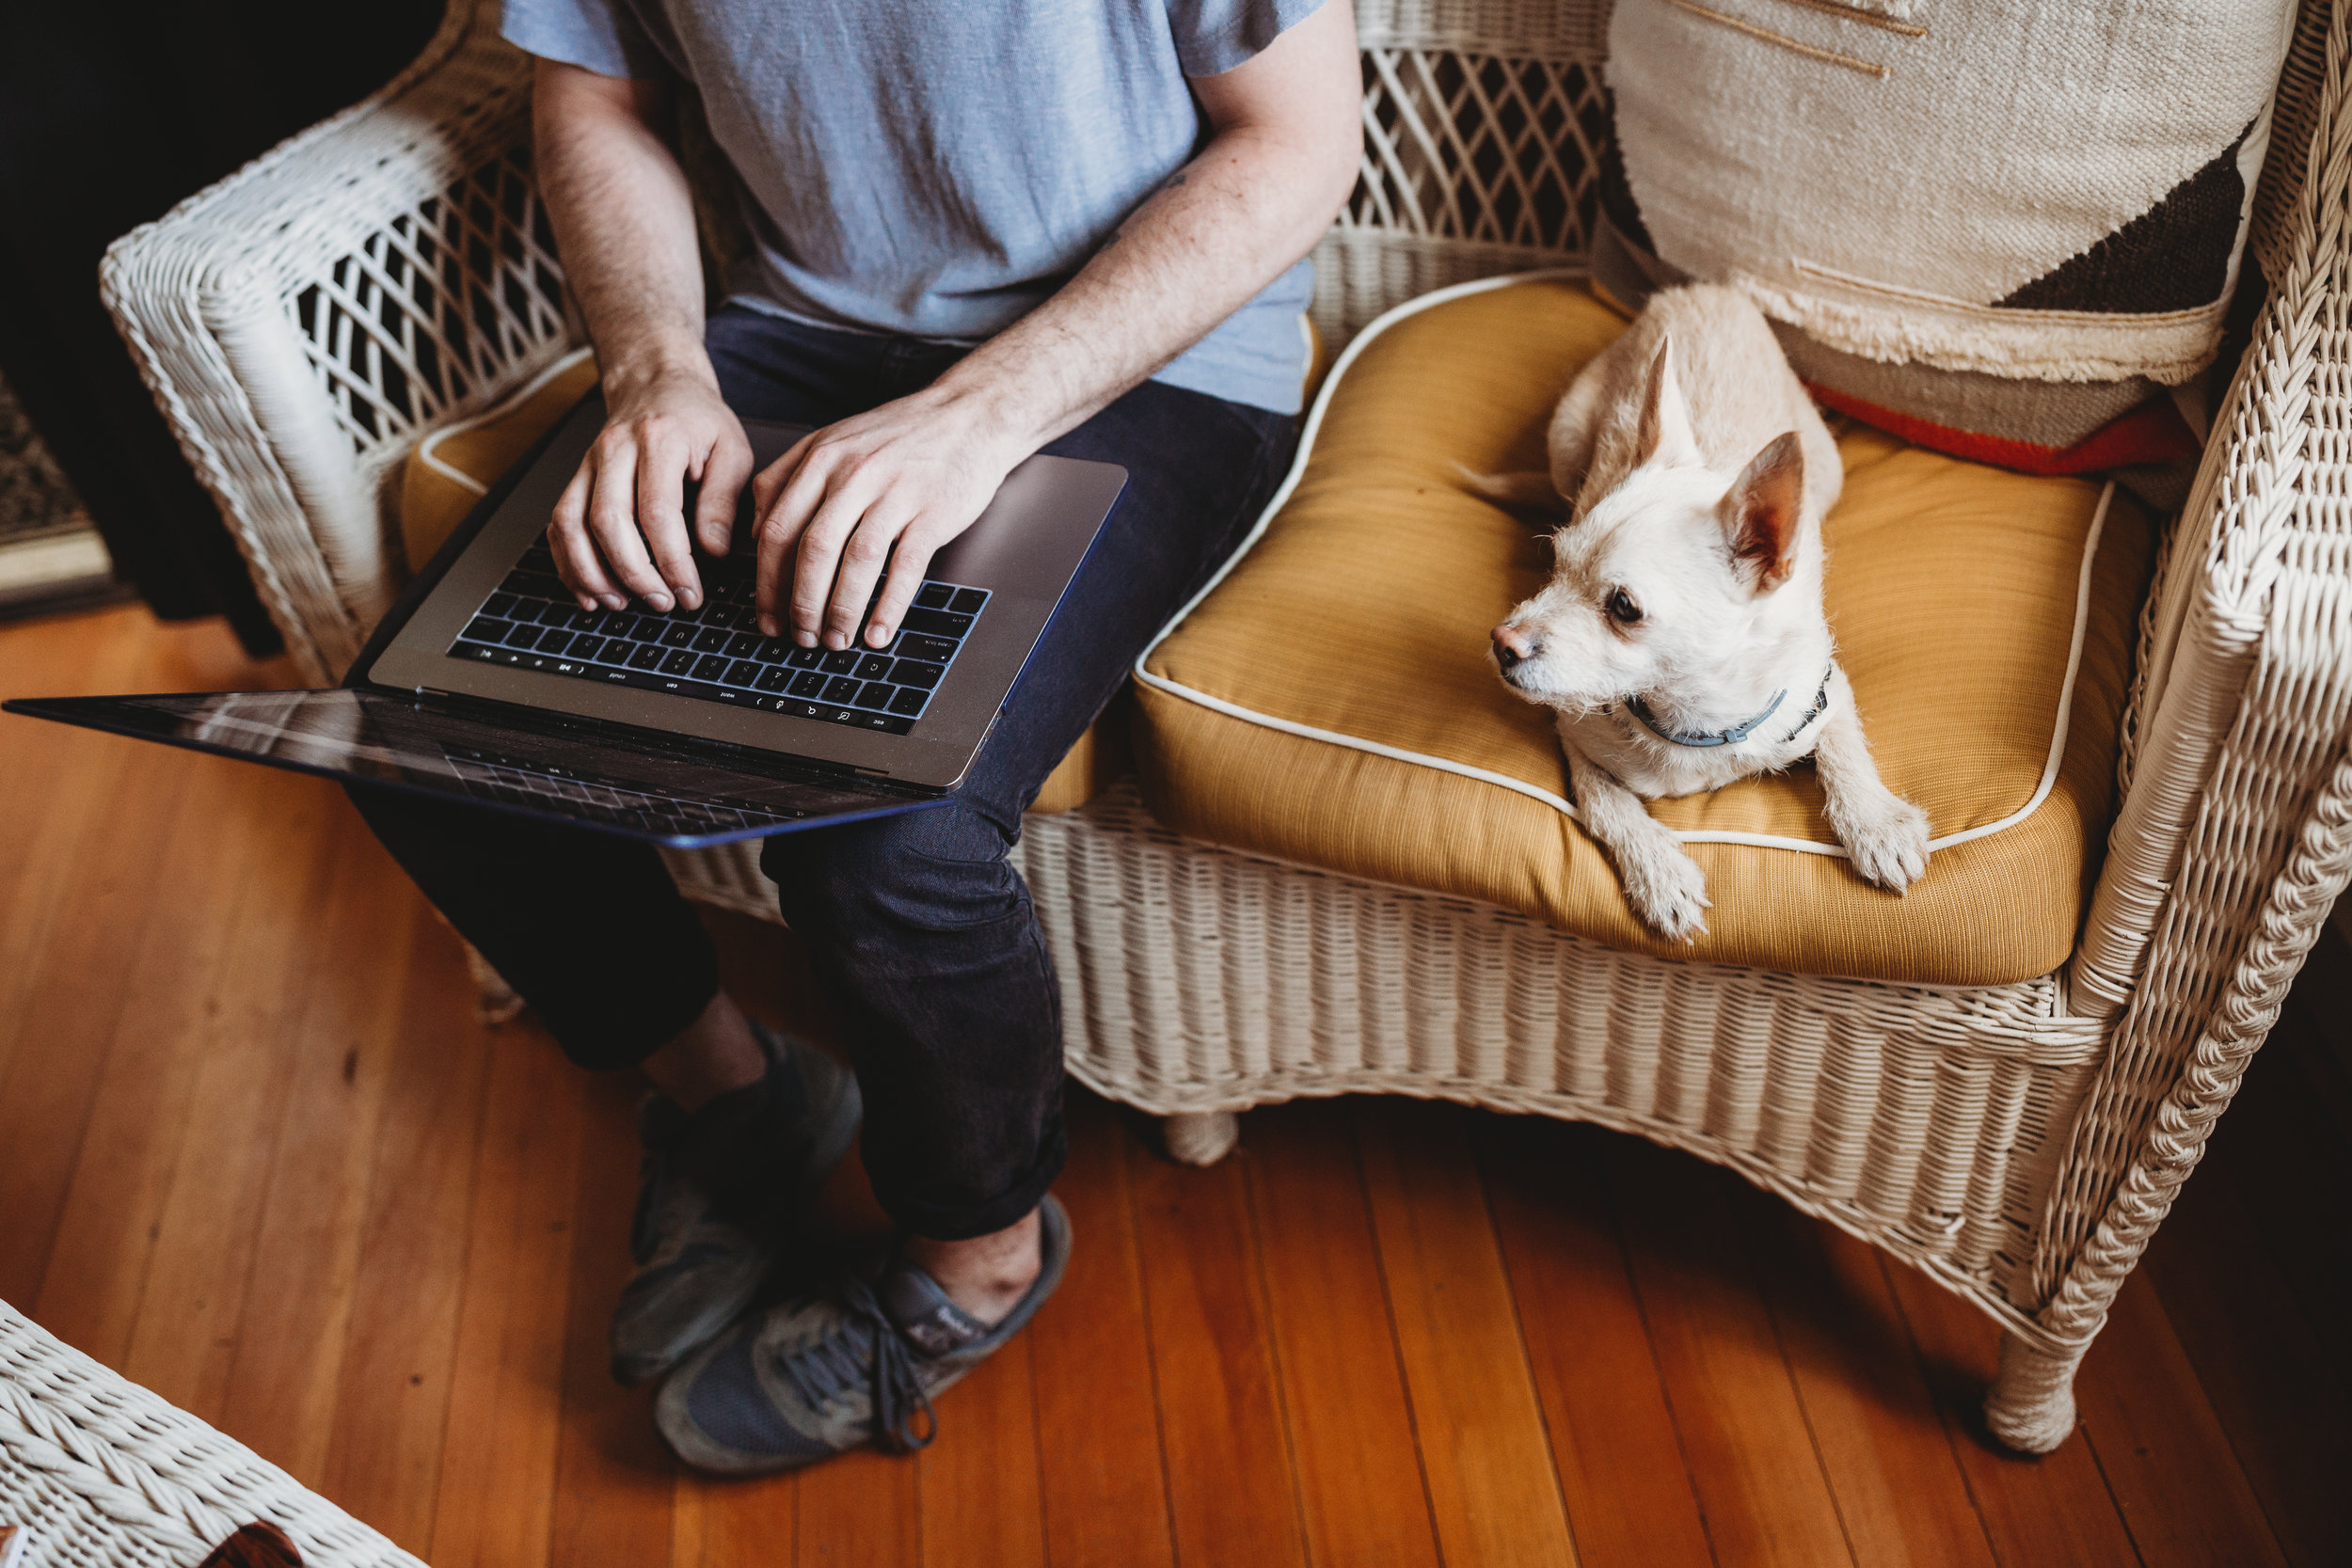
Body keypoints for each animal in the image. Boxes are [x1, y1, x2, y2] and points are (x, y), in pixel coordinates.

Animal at [1486, 286, 1929, 940]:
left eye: (1624, 607)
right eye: (1556, 562)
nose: (1502, 642)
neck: (1697, 718)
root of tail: (1709, 290)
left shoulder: (1828, 689)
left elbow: (1844, 748)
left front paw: (1874, 825)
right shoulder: (1575, 735)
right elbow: (1607, 803)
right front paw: (1660, 874)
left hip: (1826, 472)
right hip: (1566, 435)